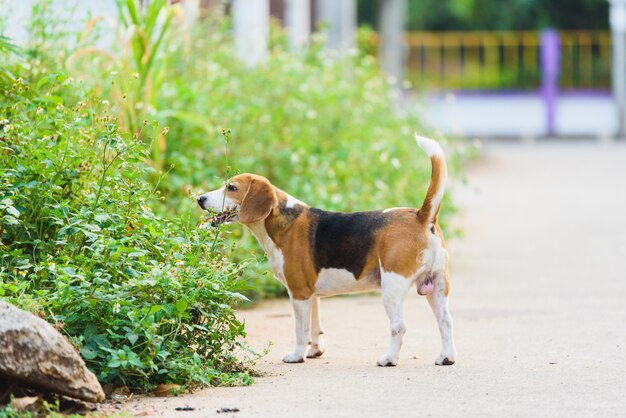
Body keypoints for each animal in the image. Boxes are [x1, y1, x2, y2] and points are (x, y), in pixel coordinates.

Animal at [199, 136, 454, 368]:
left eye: (232, 188)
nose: (200, 198)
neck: (282, 220)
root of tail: (421, 216)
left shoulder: (299, 293)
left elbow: (301, 330)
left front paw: (297, 356)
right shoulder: (312, 295)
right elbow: (315, 327)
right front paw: (315, 352)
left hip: (392, 286)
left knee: (399, 326)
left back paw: (389, 359)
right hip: (436, 286)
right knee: (445, 321)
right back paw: (446, 358)